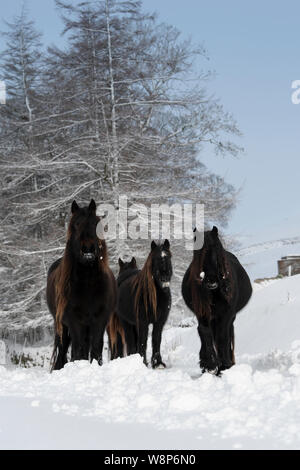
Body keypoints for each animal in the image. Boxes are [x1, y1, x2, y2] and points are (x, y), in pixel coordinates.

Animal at [47, 198, 117, 370]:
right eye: (77, 223)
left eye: (95, 223)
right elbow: (78, 349)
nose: (88, 249)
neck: (88, 283)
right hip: (62, 326)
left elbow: (96, 347)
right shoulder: (74, 321)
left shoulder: (99, 321)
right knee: (64, 350)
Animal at [109, 241, 172, 370]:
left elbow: (156, 340)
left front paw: (158, 363)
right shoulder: (143, 322)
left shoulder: (159, 322)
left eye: (168, 257)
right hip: (125, 322)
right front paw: (143, 363)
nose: (165, 277)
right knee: (129, 340)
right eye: (156, 258)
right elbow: (143, 341)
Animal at [182, 227, 252, 374]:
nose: (211, 280)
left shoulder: (226, 314)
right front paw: (208, 363)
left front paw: (225, 364)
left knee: (226, 335)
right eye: (197, 253)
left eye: (217, 249)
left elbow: (222, 337)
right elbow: (204, 332)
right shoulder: (202, 313)